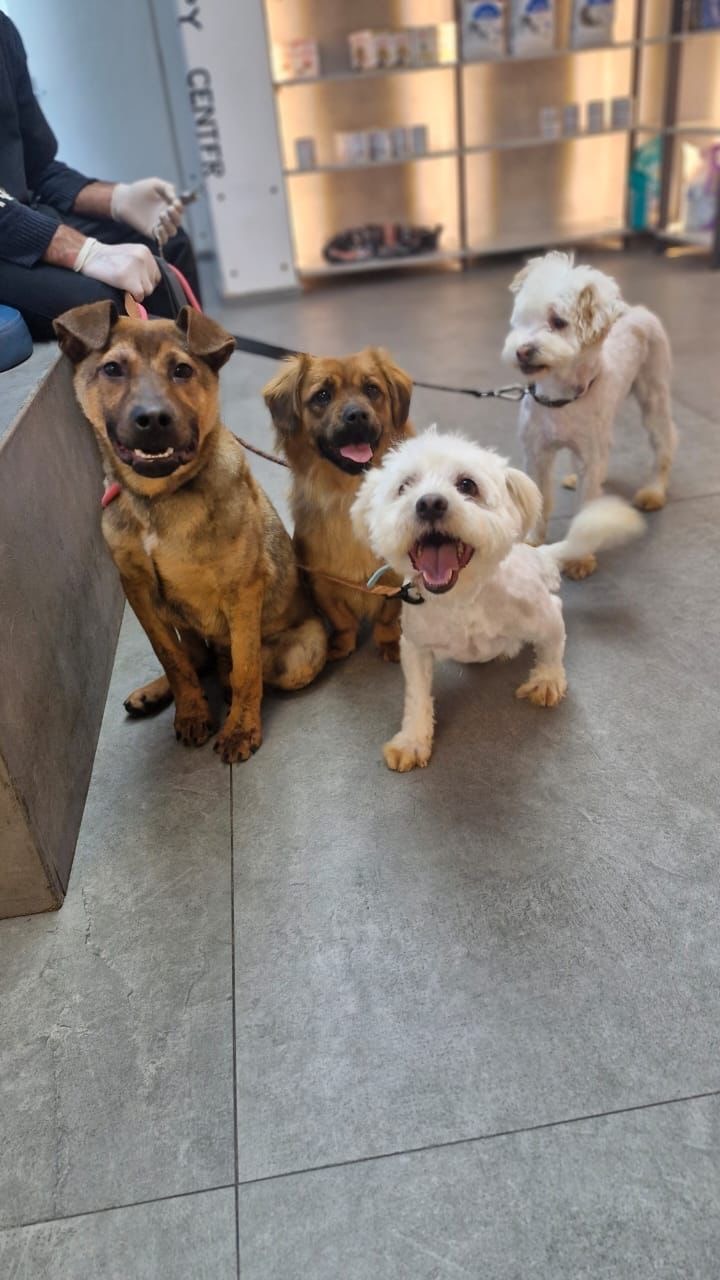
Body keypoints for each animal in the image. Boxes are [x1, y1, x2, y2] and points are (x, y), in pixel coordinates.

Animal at [54, 301, 327, 764]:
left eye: (182, 370)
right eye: (112, 369)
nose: (152, 420)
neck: (158, 500)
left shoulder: (242, 589)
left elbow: (247, 668)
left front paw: (240, 727)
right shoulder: (139, 590)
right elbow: (172, 658)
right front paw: (191, 711)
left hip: (306, 650)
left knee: (241, 666)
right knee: (195, 657)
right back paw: (156, 692)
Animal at [263, 349, 414, 662]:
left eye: (372, 390)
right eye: (322, 396)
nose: (356, 415)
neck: (350, 492)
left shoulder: (395, 579)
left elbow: (388, 616)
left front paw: (390, 642)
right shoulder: (322, 580)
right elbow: (342, 620)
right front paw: (342, 644)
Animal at [352, 429, 644, 771]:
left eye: (467, 484)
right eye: (404, 486)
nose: (430, 503)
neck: (464, 600)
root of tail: (540, 555)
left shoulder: (546, 616)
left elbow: (552, 648)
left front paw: (546, 680)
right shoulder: (414, 648)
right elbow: (417, 697)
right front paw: (412, 740)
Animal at [502, 251, 677, 578]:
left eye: (558, 321)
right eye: (523, 319)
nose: (522, 351)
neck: (559, 398)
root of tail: (635, 309)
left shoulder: (589, 455)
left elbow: (586, 508)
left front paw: (579, 558)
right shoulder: (537, 453)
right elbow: (540, 497)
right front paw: (533, 539)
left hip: (654, 394)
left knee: (664, 443)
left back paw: (653, 491)